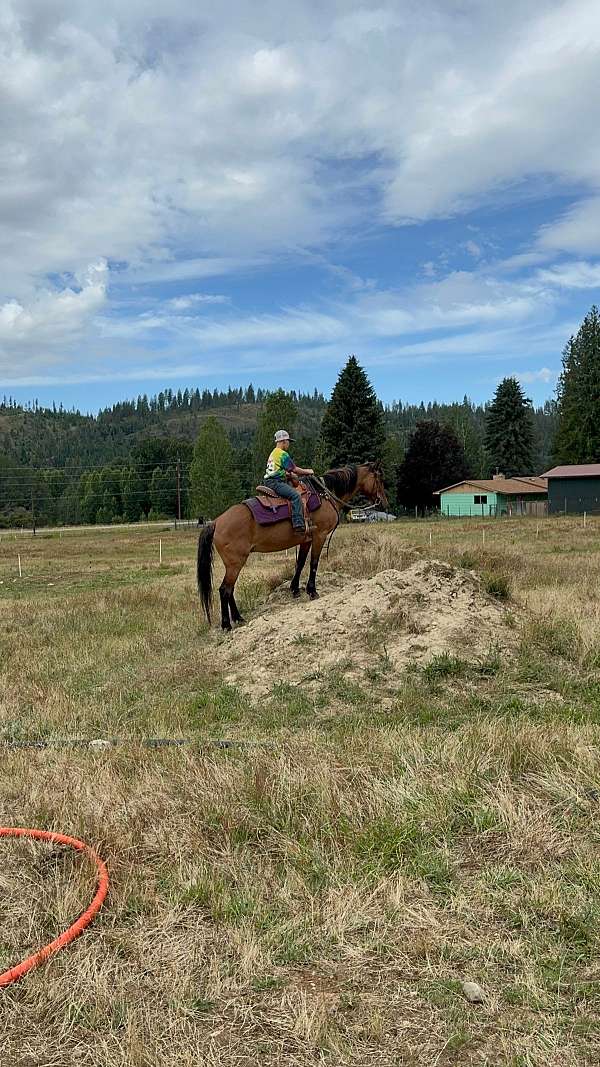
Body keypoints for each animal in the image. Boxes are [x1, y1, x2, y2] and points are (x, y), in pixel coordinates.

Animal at [197, 461, 388, 630]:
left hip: (234, 564)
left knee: (230, 590)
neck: (325, 495)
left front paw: (295, 589)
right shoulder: (319, 536)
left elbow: (300, 563)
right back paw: (227, 624)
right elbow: (313, 563)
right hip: (235, 563)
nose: (384, 502)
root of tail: (216, 522)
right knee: (224, 590)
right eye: (379, 477)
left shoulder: (306, 539)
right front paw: (312, 591)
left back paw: (238, 618)